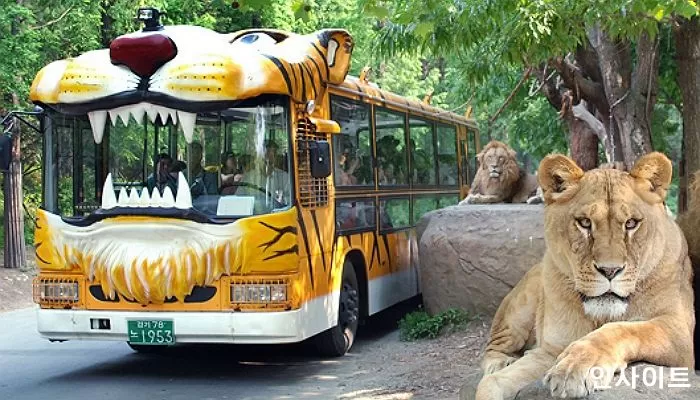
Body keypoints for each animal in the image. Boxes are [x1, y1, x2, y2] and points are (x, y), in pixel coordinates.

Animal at [476, 152, 696, 398]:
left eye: (631, 223)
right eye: (584, 223)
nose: (610, 270)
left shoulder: (679, 332)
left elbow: (626, 329)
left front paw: (577, 366)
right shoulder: (550, 351)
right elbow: (490, 384)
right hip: (520, 308)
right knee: (494, 347)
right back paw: (500, 361)